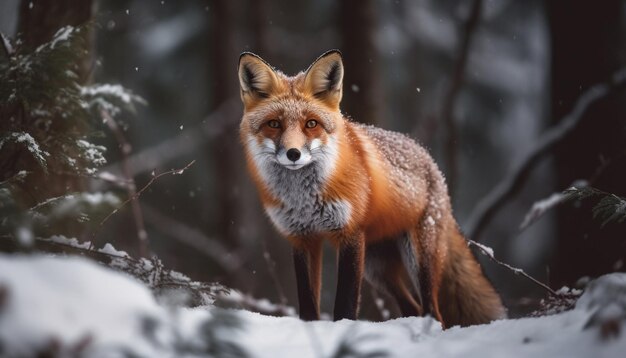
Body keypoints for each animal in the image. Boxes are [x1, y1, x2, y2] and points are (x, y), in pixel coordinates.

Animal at [236, 49, 504, 328]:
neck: (304, 200)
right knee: (412, 306)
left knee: (433, 311)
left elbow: (345, 302)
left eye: (311, 124)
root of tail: (431, 162)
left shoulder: (350, 234)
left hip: (418, 258)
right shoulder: (302, 237)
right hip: (378, 269)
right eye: (274, 124)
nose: (293, 153)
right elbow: (308, 303)